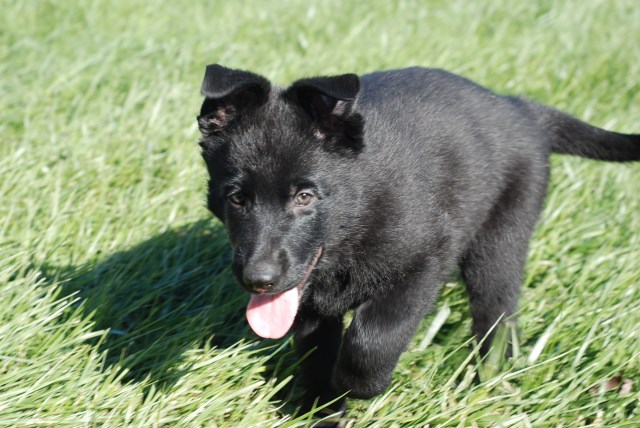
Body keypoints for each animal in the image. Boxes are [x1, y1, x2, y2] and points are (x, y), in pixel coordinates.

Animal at [198, 65, 636, 416]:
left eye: (305, 197)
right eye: (236, 198)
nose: (259, 280)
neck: (362, 206)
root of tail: (519, 108)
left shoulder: (424, 262)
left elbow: (372, 338)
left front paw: (355, 385)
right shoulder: (308, 301)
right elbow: (315, 352)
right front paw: (323, 410)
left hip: (499, 242)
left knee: (498, 316)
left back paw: (493, 381)